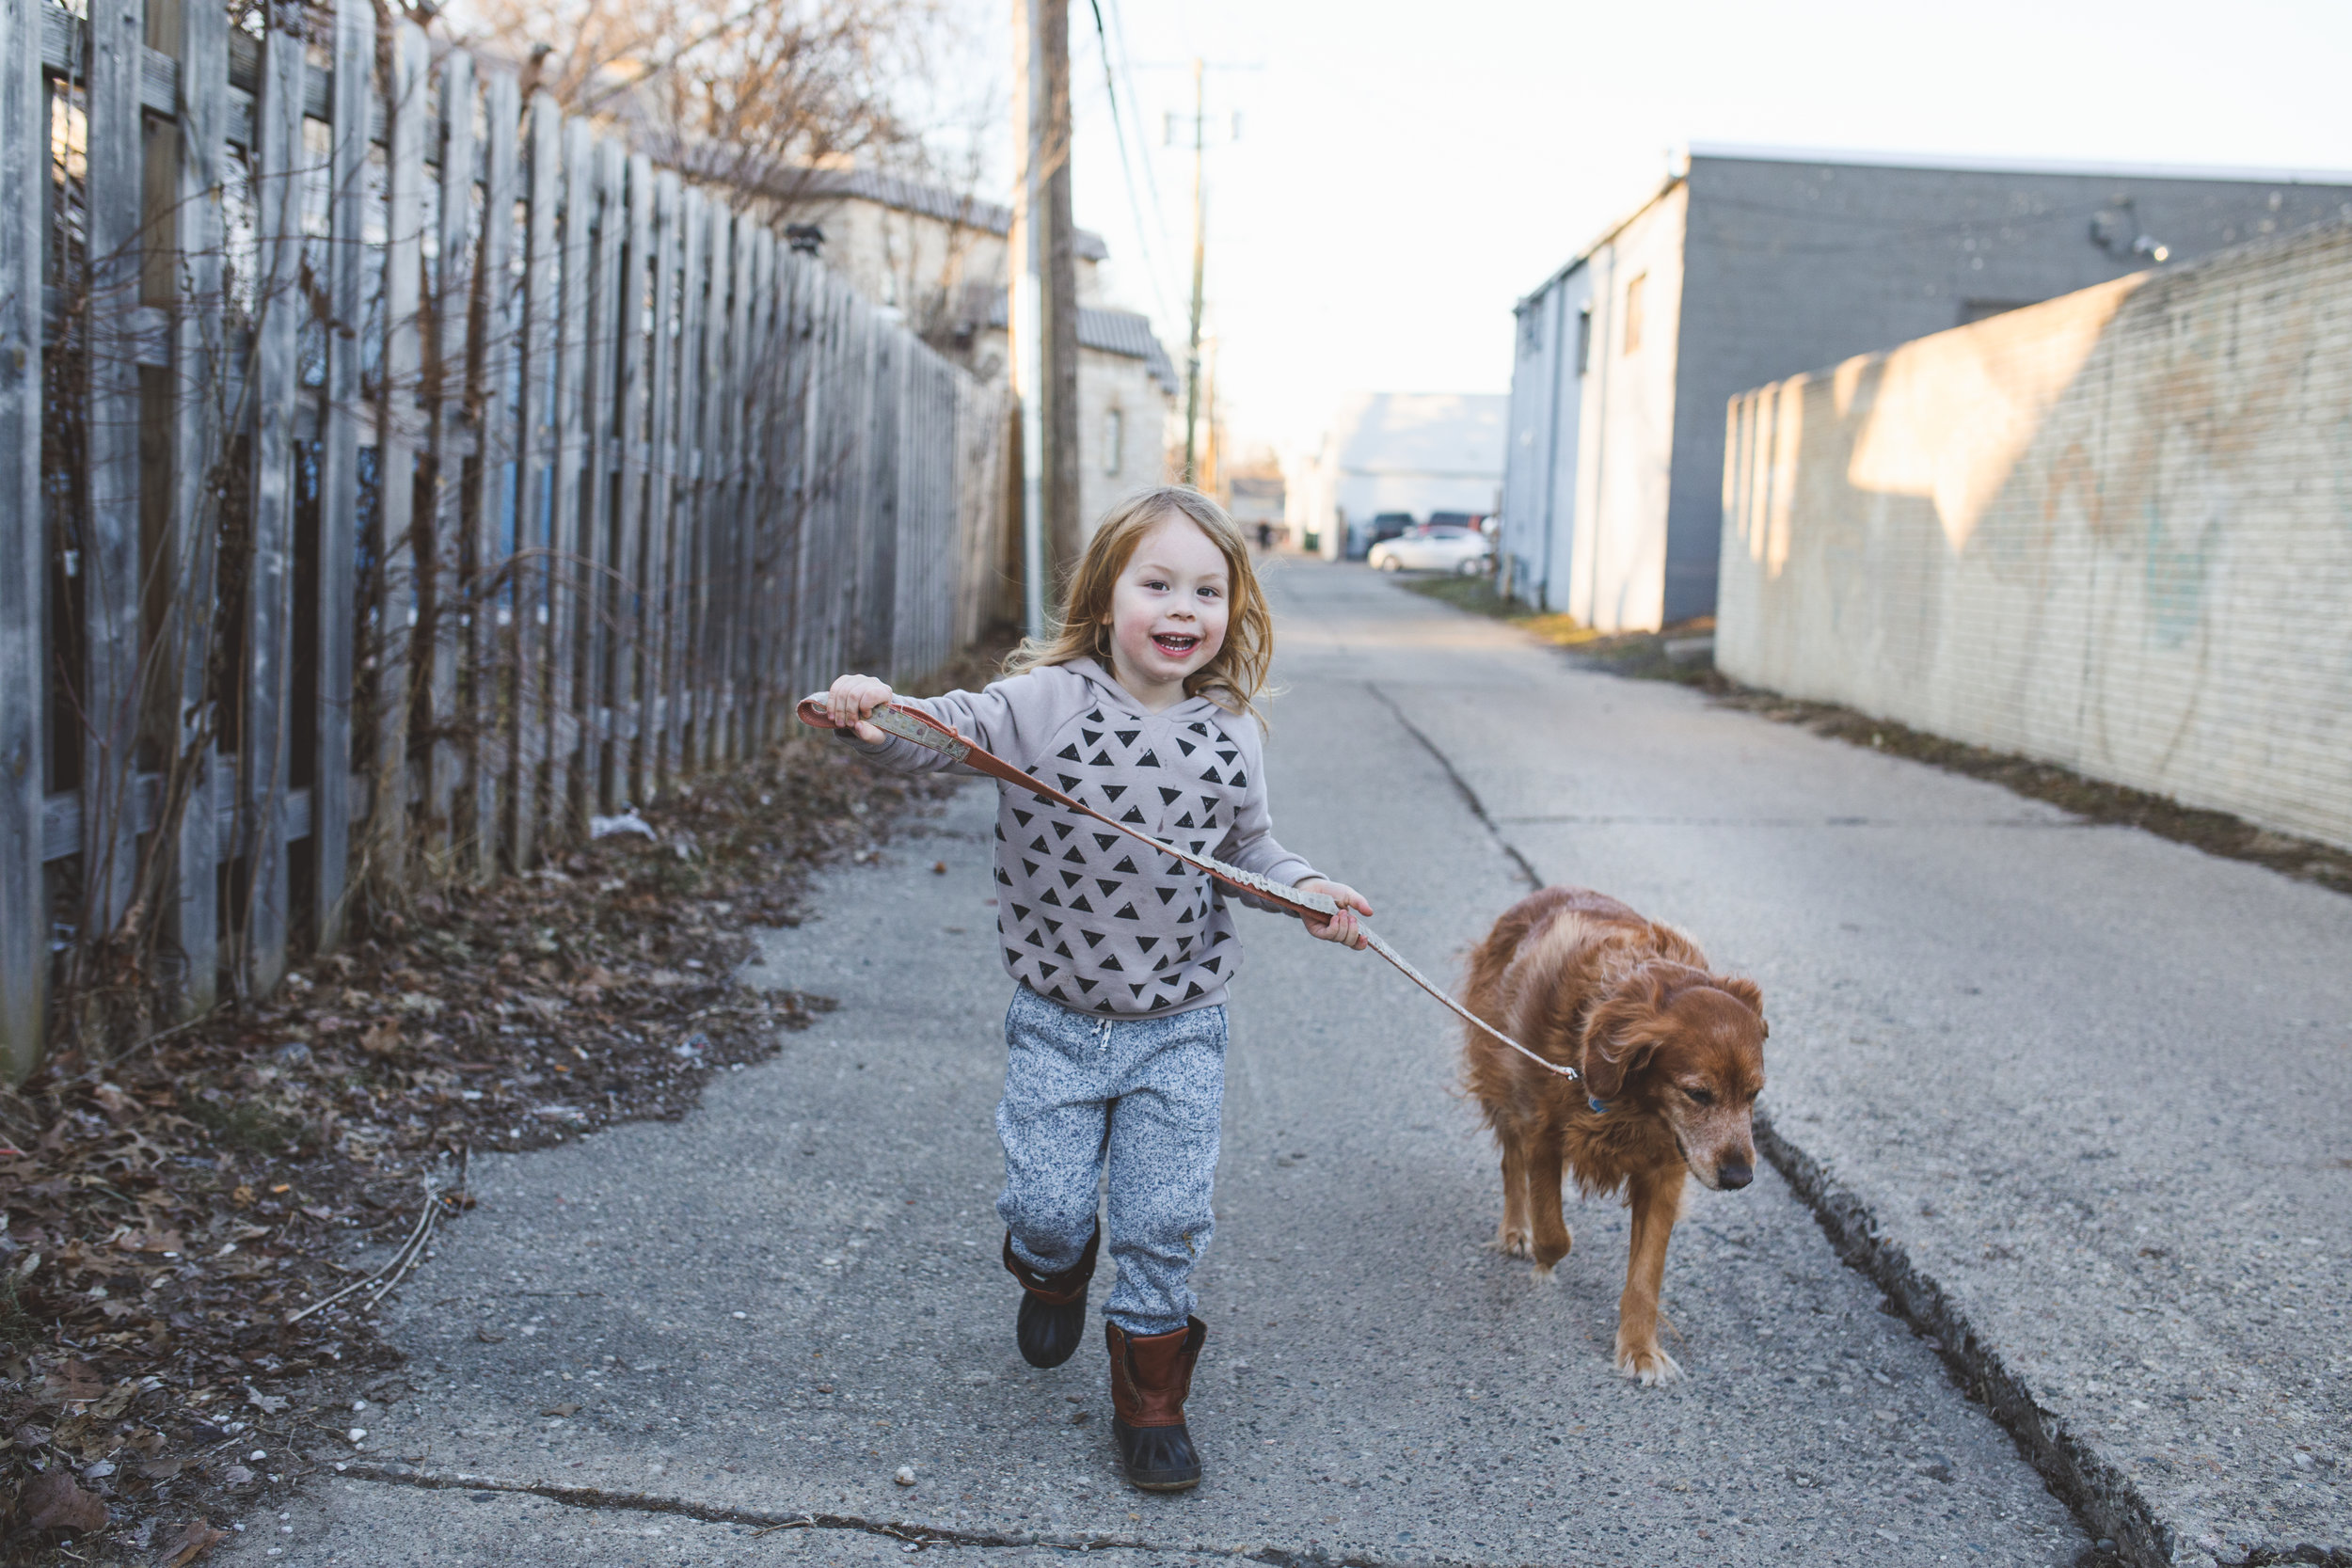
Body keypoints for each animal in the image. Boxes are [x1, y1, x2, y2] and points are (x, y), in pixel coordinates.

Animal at [1449, 883, 1769, 1382]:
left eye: (1754, 1094)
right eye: (1698, 1094)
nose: (1740, 1178)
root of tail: (1545, 891)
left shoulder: (1664, 1170)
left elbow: (1646, 1274)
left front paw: (1639, 1348)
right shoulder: (1543, 1134)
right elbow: (1554, 1232)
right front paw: (1543, 1259)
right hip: (1502, 1074)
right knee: (1510, 1161)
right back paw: (1516, 1228)